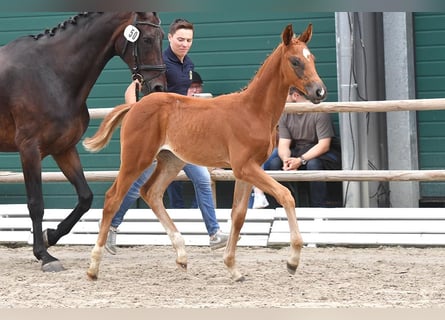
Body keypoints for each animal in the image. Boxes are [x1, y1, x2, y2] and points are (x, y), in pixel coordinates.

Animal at [0, 12, 166, 272]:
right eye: (147, 39)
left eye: (162, 37)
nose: (158, 87)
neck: (52, 73)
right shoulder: (29, 149)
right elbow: (36, 204)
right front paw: (44, 255)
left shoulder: (64, 148)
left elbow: (85, 197)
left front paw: (50, 236)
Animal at [84, 23, 326, 282]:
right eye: (295, 61)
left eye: (312, 59)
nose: (319, 92)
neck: (253, 111)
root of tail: (135, 105)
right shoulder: (244, 167)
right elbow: (285, 195)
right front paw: (292, 261)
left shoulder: (247, 170)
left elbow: (238, 215)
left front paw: (233, 268)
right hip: (136, 159)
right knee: (113, 198)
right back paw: (93, 267)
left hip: (171, 161)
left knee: (151, 192)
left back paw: (181, 255)